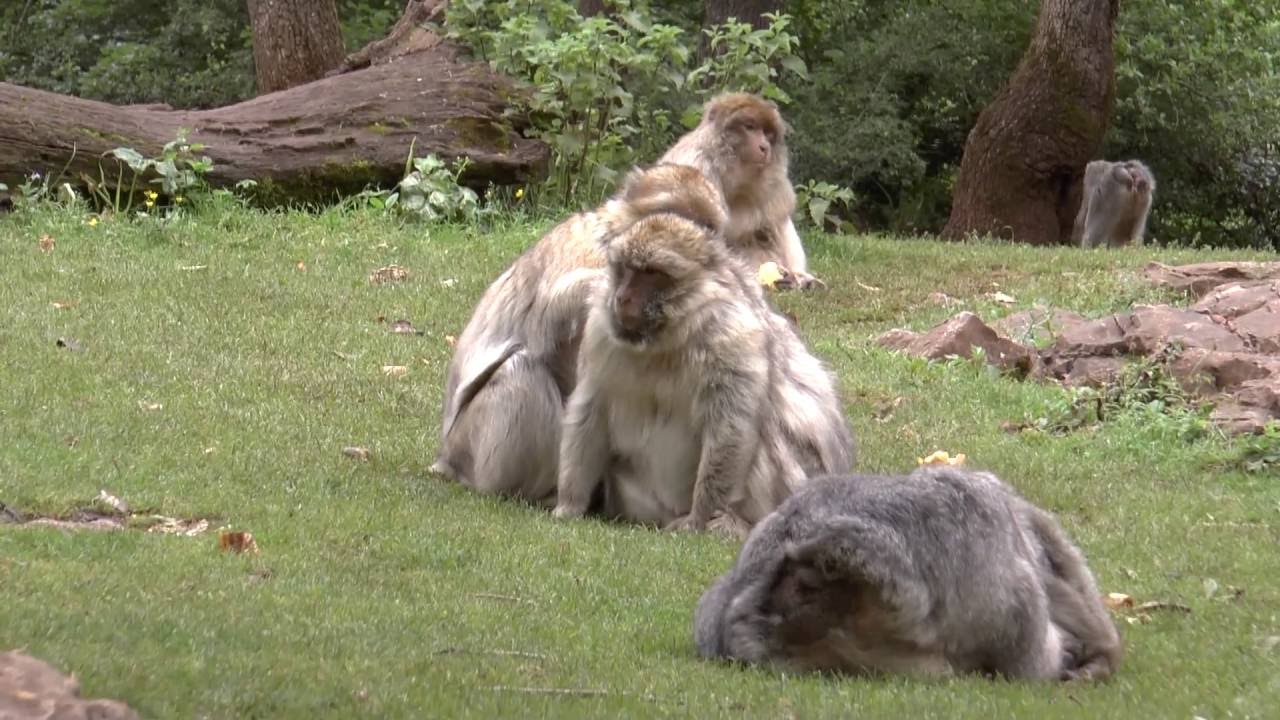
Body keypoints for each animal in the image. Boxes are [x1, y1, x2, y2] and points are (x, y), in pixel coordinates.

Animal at [432, 164, 729, 504]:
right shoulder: (594, 252)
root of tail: (445, 456)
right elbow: (550, 313)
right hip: (470, 446)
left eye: (705, 226)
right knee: (521, 370)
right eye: (673, 215)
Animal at [551, 201, 855, 537]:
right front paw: (569, 505)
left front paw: (700, 519)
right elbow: (591, 408)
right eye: (626, 269)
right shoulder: (600, 331)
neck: (667, 338)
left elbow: (730, 425)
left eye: (650, 273)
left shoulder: (728, 334)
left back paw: (733, 522)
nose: (623, 297)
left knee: (762, 434)